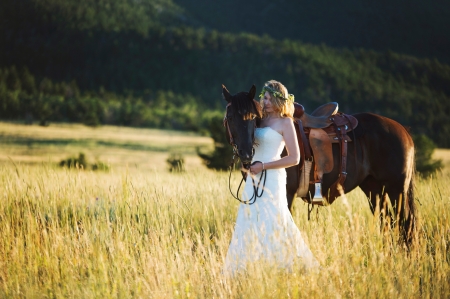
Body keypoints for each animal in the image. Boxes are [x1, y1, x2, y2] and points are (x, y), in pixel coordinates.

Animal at [222, 84, 418, 246]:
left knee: (405, 224)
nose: (246, 153)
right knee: (388, 222)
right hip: (375, 190)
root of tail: (403, 130)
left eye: (252, 117)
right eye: (230, 117)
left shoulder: (287, 194)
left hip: (397, 190)